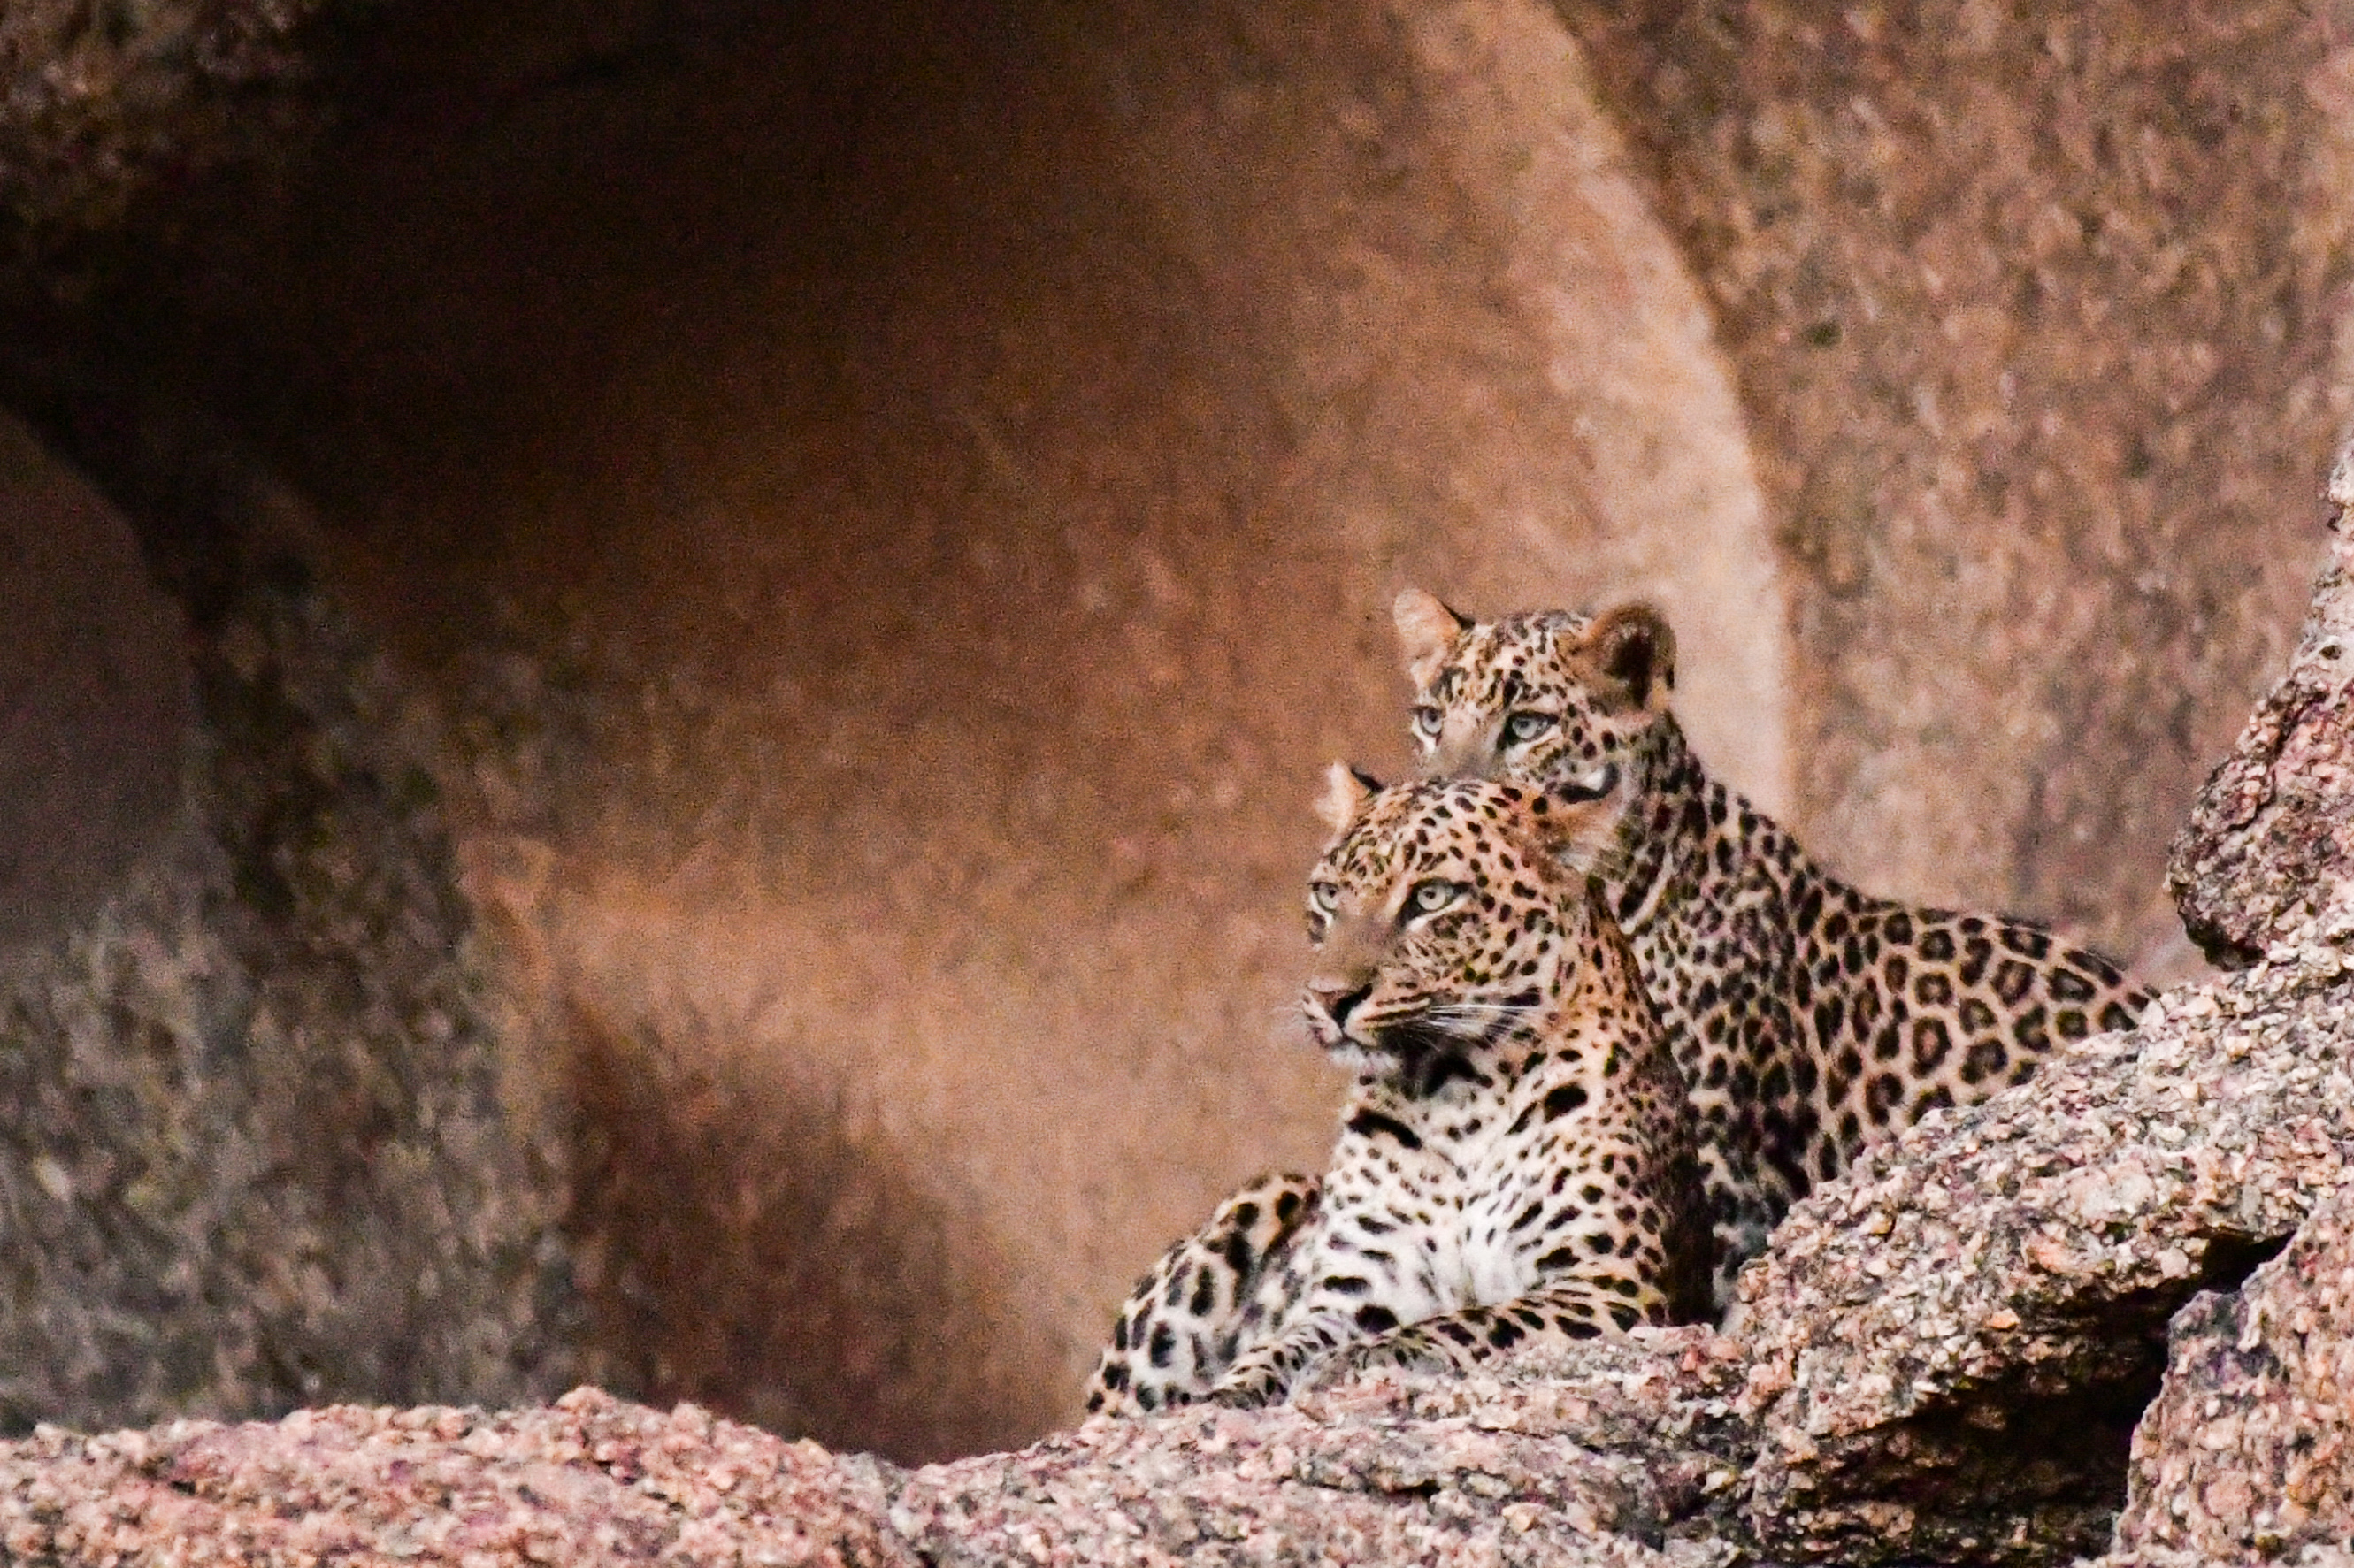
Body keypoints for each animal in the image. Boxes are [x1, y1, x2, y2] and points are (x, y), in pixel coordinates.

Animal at [1086, 768, 1711, 1416]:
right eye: (1329, 895)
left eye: (1431, 897)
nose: (1330, 997)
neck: (1460, 1094)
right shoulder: (1357, 1288)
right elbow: (1281, 1344)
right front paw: (1235, 1389)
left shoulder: (1610, 1284)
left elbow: (1477, 1319)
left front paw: (1364, 1359)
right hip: (1265, 1198)